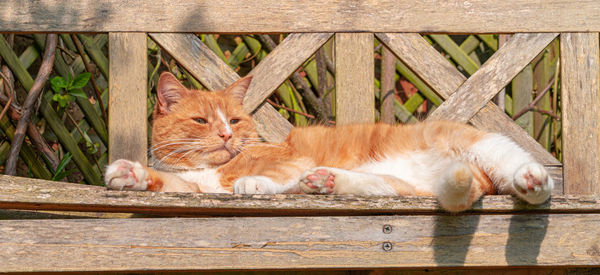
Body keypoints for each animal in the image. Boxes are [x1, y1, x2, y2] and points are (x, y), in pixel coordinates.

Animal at [104, 72, 552, 212]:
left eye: (234, 120)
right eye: (201, 120)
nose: (227, 134)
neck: (211, 171)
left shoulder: (289, 159)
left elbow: (270, 176)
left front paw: (253, 184)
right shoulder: (194, 188)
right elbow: (168, 183)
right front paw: (130, 174)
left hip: (480, 144)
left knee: (519, 169)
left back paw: (533, 181)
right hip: (404, 185)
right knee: (383, 187)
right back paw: (327, 182)